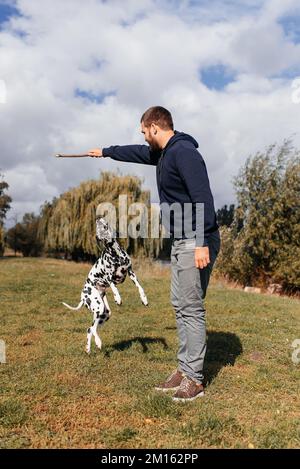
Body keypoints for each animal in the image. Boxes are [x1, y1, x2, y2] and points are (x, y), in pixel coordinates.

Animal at [62, 218, 149, 352]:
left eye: (104, 224)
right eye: (97, 229)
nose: (97, 218)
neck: (115, 253)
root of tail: (83, 296)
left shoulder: (131, 272)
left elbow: (140, 287)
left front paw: (144, 299)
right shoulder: (109, 277)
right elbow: (114, 287)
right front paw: (118, 298)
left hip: (105, 313)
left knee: (90, 329)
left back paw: (88, 348)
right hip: (98, 307)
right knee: (92, 328)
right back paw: (98, 343)